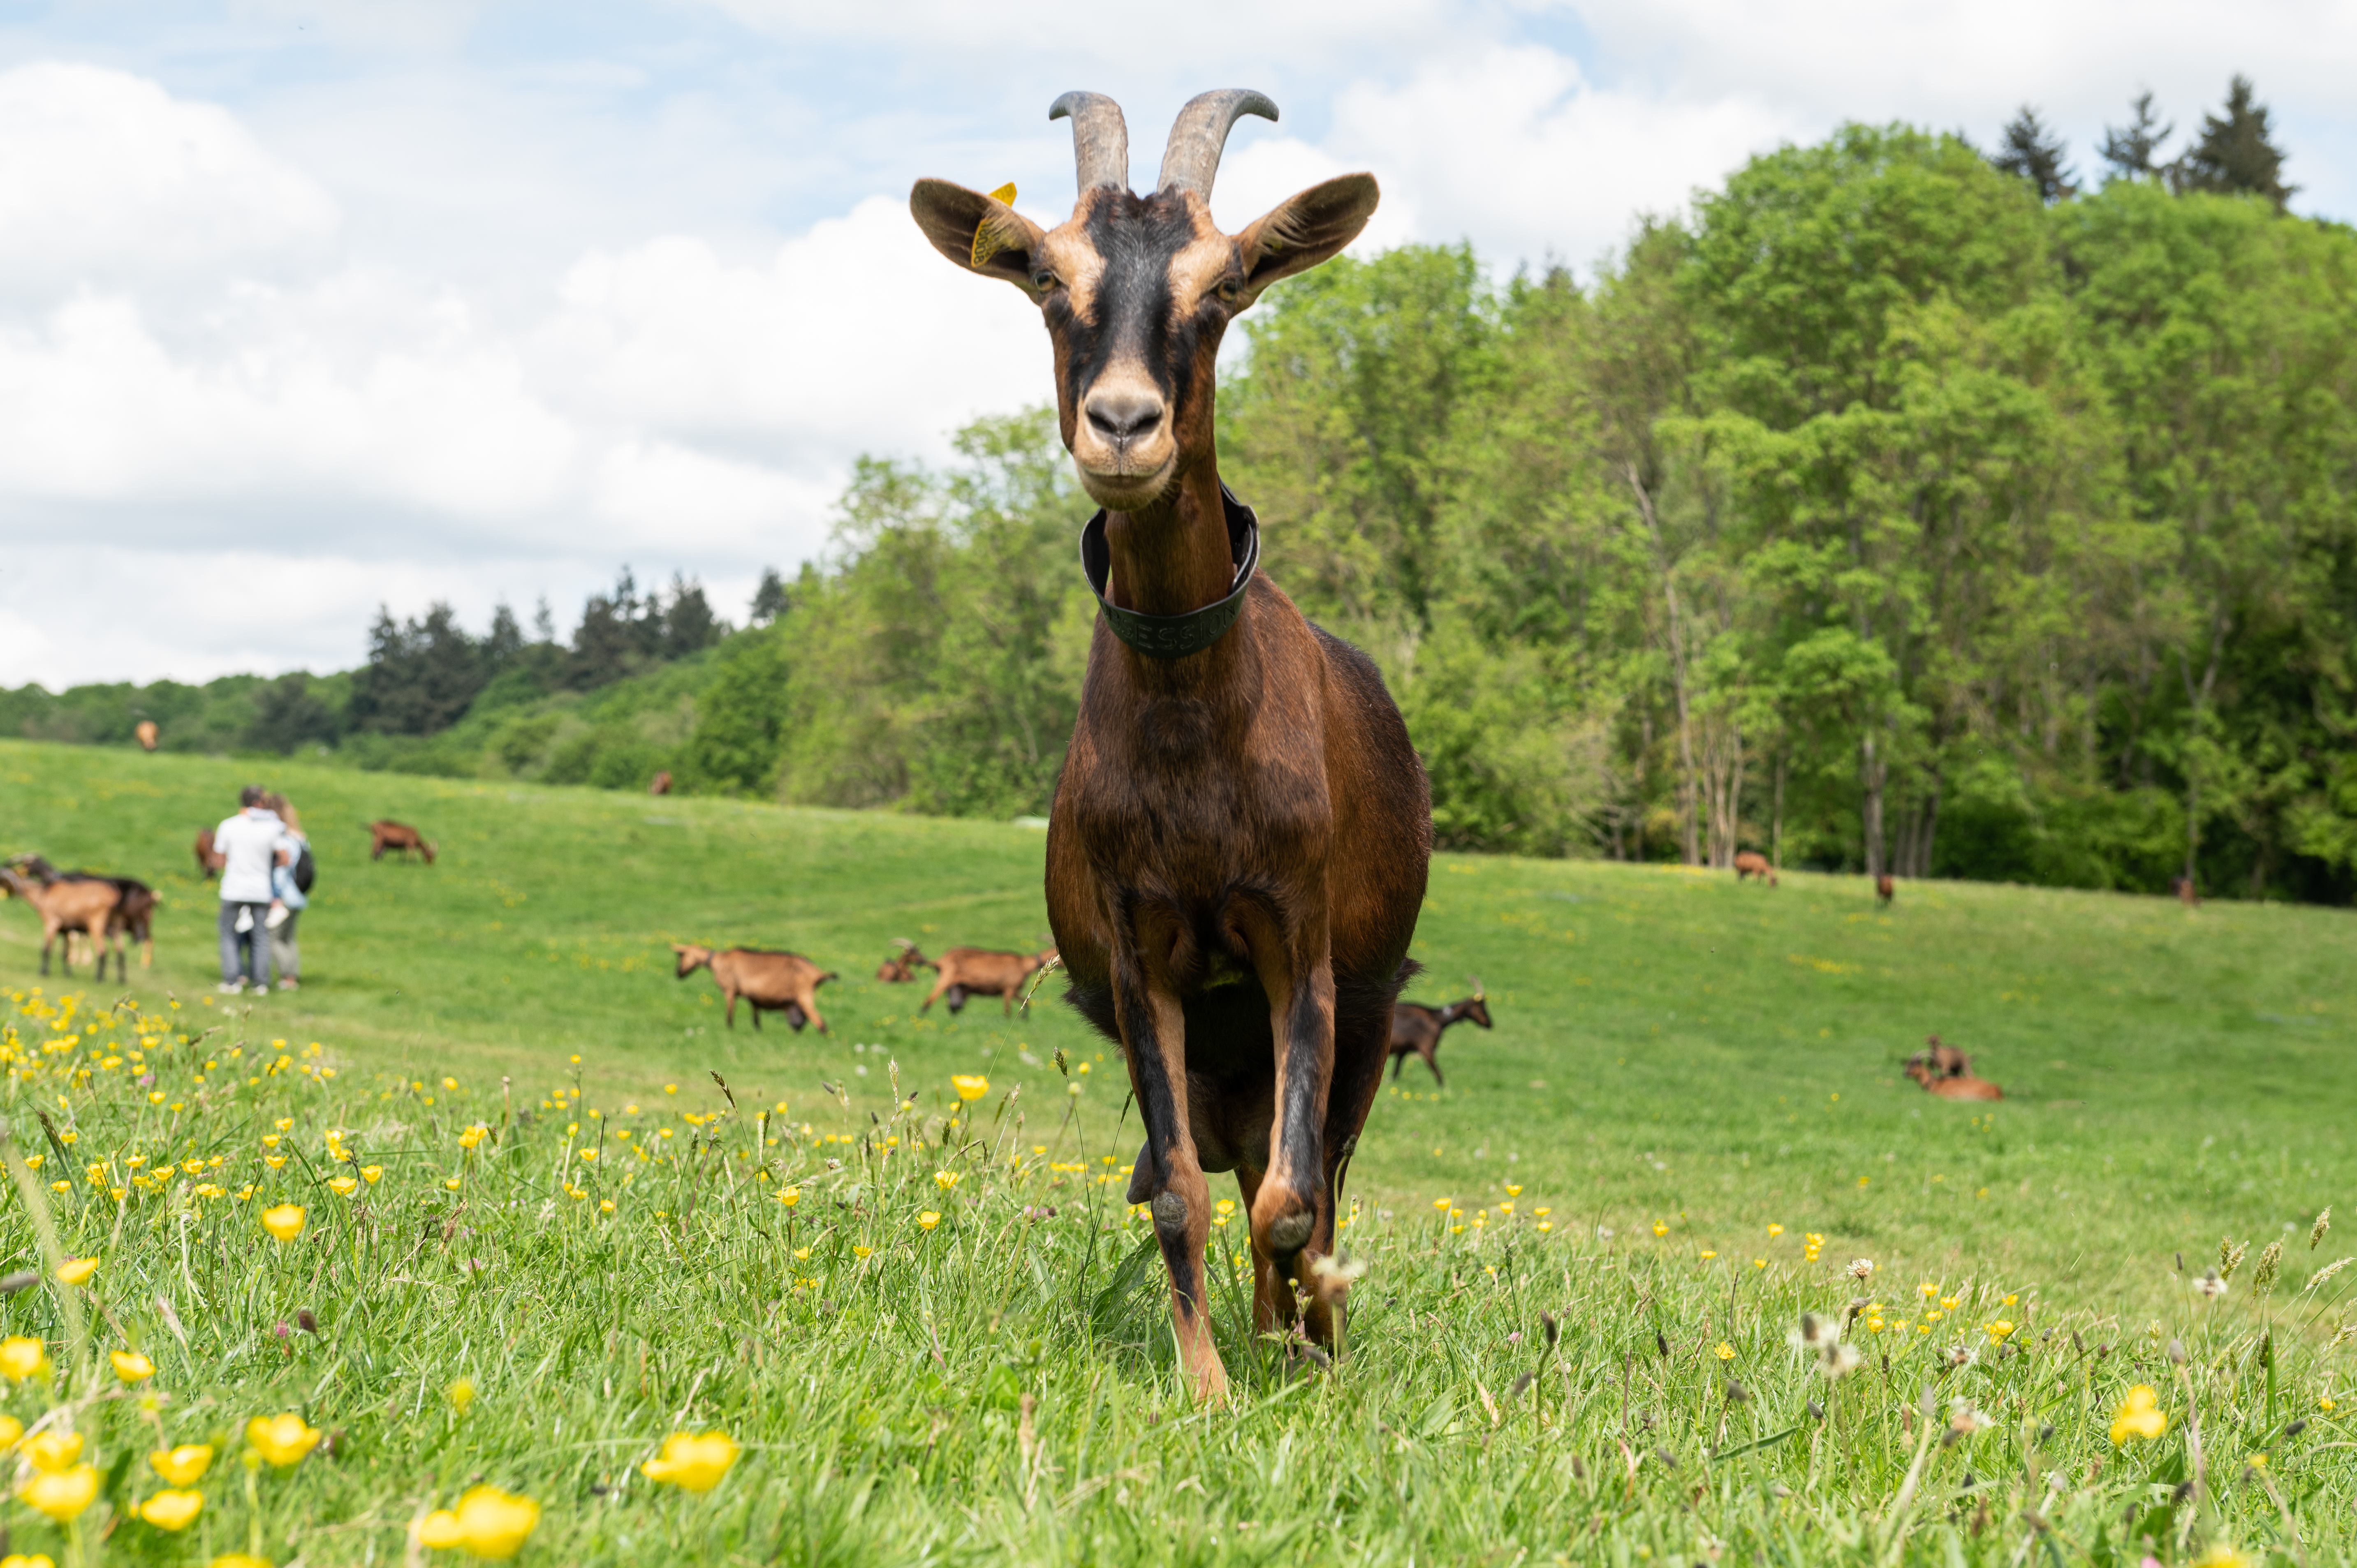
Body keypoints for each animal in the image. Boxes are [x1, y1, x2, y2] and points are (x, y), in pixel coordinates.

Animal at [0, 865, 126, 979]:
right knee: (121, 952)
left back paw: (99, 978)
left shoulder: (51, 923)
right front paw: (68, 974)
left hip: (97, 925)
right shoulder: (66, 930)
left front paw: (43, 973)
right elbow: (65, 953)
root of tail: (113, 896)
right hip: (115, 926)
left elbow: (46, 949)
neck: (42, 894)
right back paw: (121, 980)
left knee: (103, 951)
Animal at [370, 821, 437, 865]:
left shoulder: (404, 845)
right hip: (379, 840)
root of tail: (373, 826)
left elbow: (403, 853)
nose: (431, 863)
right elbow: (412, 853)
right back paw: (374, 859)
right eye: (430, 855)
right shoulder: (410, 844)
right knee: (374, 848)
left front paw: (402, 861)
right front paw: (413, 862)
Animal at [672, 944, 836, 1032]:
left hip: (804, 995)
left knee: (820, 1023)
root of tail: (818, 973)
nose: (677, 973)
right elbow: (756, 1021)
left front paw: (730, 1031)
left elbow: (730, 1016)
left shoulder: (730, 990)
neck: (717, 961)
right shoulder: (754, 999)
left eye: (681, 956)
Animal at [918, 946, 1057, 1017]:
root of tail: (941, 961)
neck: (1023, 964)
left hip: (956, 989)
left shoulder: (1013, 991)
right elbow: (1007, 1012)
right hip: (946, 980)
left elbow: (1026, 1005)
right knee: (929, 1001)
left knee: (953, 1008)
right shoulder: (1009, 989)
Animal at [1387, 979, 1491, 1086]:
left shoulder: (1403, 1050)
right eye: (1482, 1008)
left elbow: (1396, 1072)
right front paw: (1446, 1088)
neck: (1437, 1018)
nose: (1490, 1024)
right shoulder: (1427, 1049)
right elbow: (1439, 1075)